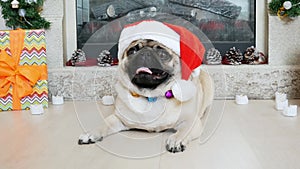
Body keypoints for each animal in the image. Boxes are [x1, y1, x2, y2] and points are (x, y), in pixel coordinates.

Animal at [78, 20, 214, 153]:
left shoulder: (190, 122)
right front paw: (90, 133)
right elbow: (104, 124)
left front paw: (176, 140)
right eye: (132, 51)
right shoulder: (117, 118)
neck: (150, 95)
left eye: (162, 54)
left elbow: (184, 131)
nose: (145, 52)